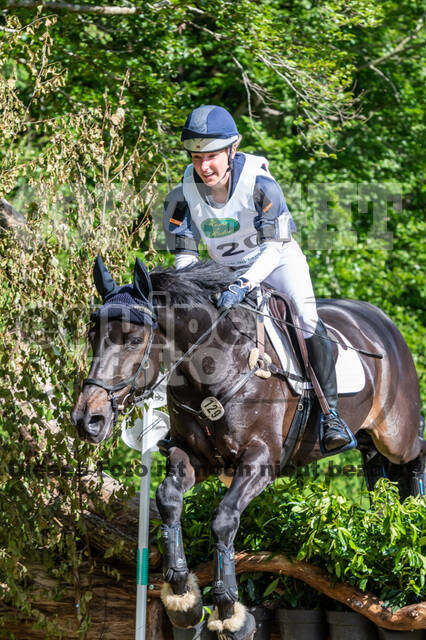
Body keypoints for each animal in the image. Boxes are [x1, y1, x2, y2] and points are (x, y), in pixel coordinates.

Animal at [71, 256, 425, 640]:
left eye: (134, 340)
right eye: (92, 336)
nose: (88, 419)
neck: (210, 370)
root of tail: (381, 321)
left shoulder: (259, 461)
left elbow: (223, 519)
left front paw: (230, 613)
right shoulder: (193, 457)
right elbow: (168, 499)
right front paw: (183, 599)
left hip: (396, 434)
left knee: (415, 454)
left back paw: (415, 518)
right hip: (369, 438)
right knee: (377, 475)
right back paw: (386, 518)